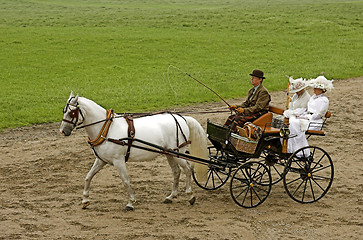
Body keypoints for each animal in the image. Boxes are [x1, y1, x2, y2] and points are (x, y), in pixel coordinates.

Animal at [59, 91, 208, 210]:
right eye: (63, 111)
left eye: (72, 112)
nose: (62, 131)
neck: (107, 129)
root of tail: (180, 117)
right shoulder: (101, 160)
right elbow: (88, 176)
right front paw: (85, 200)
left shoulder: (118, 161)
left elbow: (126, 181)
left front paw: (130, 202)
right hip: (170, 153)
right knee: (176, 171)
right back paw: (171, 196)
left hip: (178, 153)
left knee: (188, 169)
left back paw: (190, 195)